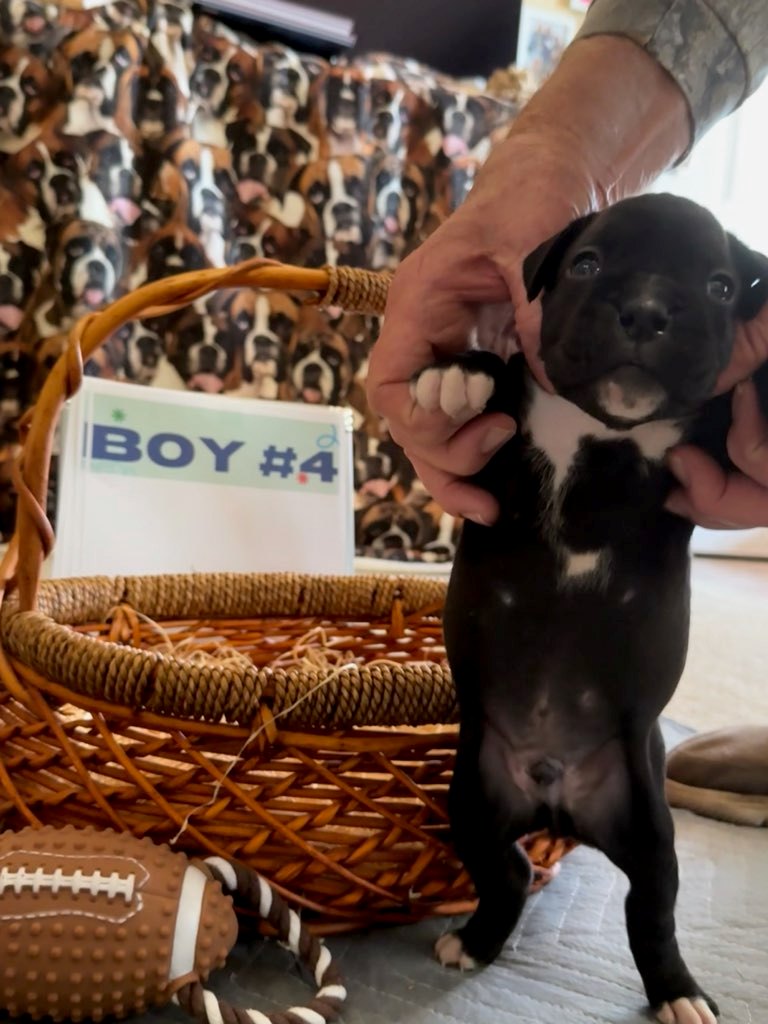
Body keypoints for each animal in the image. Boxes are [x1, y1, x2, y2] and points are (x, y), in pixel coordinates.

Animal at [410, 193, 768, 1023]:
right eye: (586, 264)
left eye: (721, 287)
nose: (647, 310)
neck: (603, 428)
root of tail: (553, 798)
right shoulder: (503, 458)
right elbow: (501, 377)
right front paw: (456, 372)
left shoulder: (702, 453)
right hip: (470, 800)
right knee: (506, 871)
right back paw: (476, 940)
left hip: (649, 828)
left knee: (651, 908)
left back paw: (678, 991)